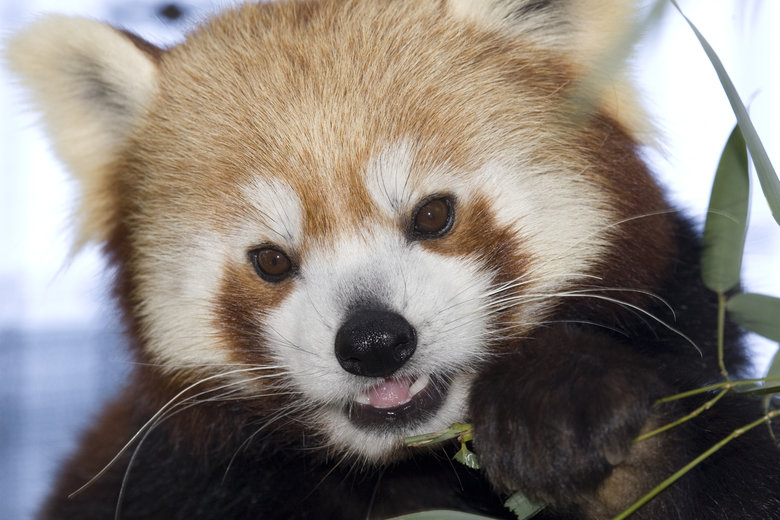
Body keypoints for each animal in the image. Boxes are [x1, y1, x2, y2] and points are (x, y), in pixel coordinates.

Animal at [6, 0, 780, 518]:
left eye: (433, 215)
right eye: (270, 261)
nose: (374, 343)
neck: (414, 463)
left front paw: (569, 410)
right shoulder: (168, 478)